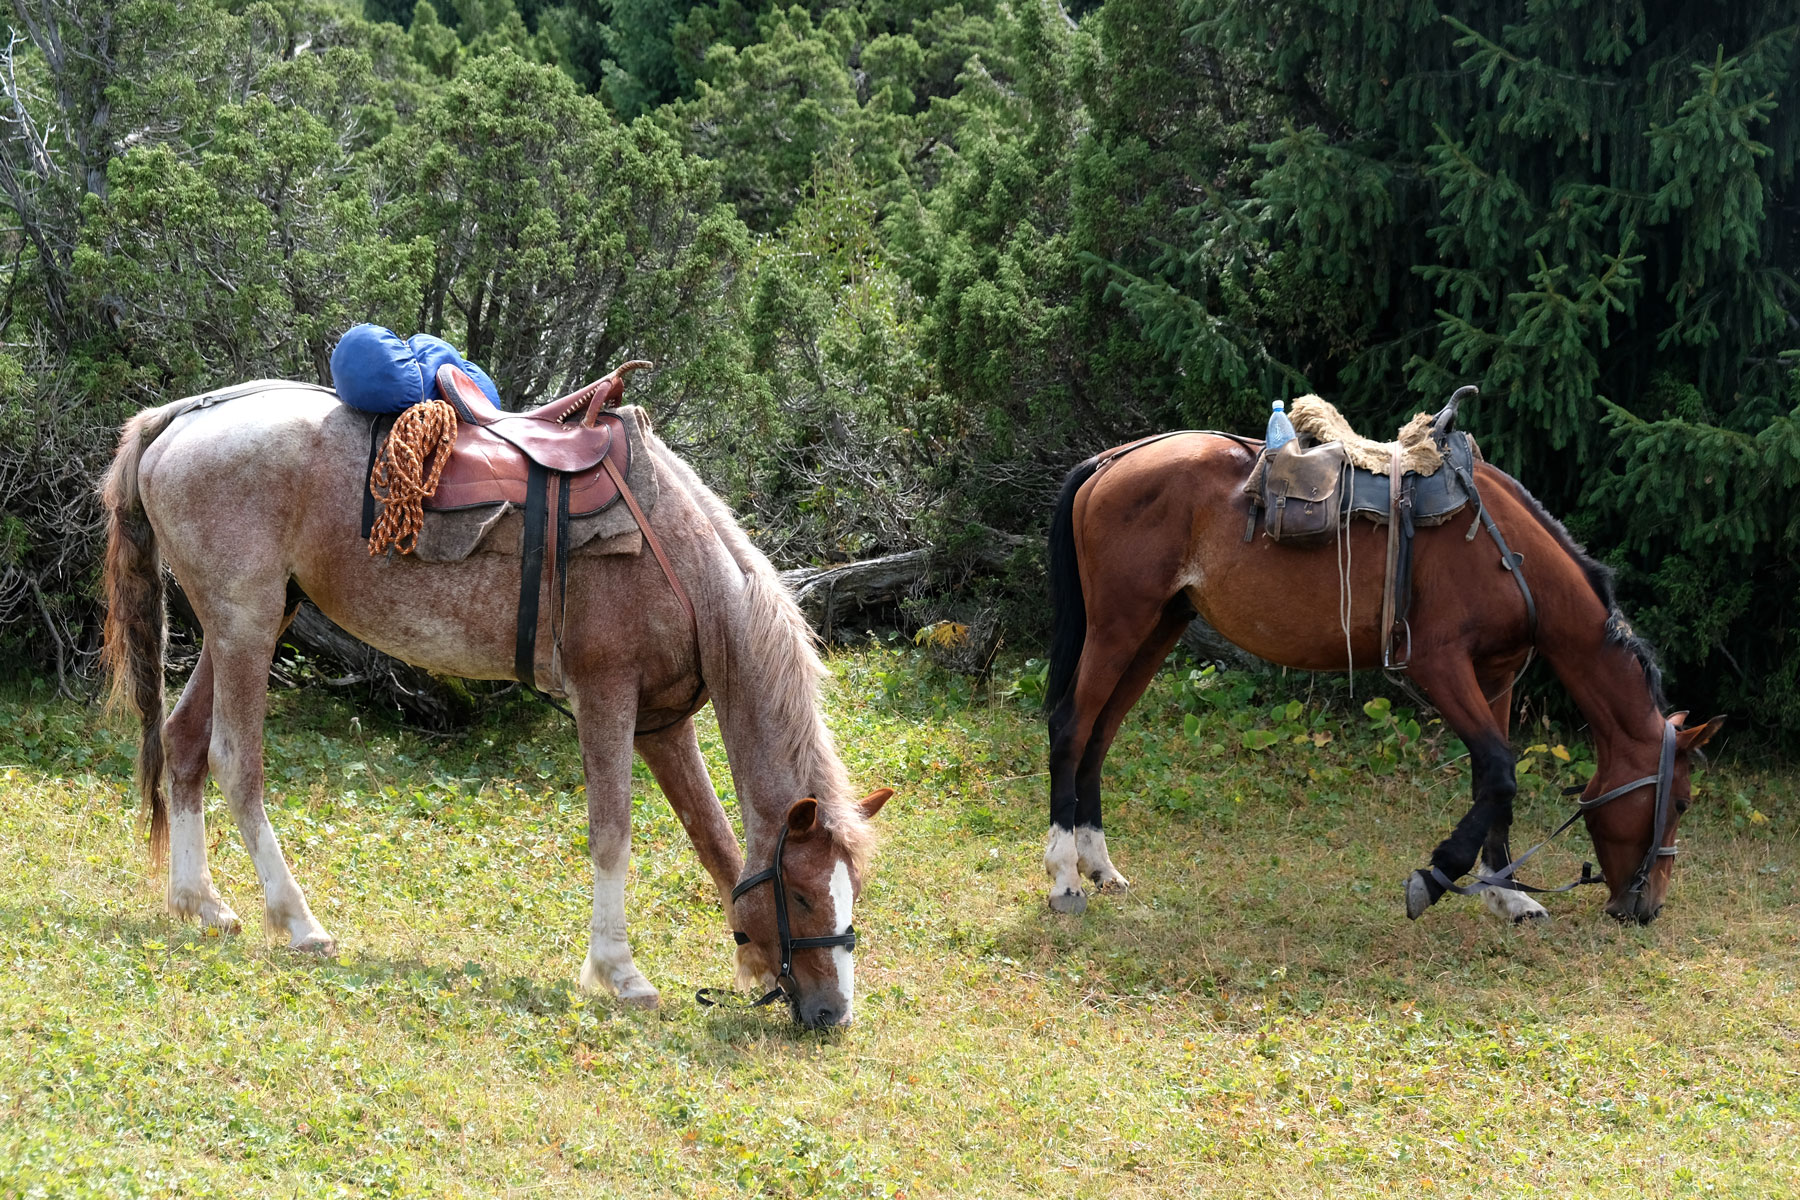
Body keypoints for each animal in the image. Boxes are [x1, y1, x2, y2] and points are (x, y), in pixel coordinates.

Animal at [102, 390, 889, 1029]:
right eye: (806, 897)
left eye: (852, 893)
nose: (833, 1014)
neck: (681, 562)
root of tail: (181, 416)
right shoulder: (606, 697)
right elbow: (613, 834)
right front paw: (619, 973)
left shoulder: (664, 725)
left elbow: (713, 837)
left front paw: (744, 959)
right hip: (248, 625)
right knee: (238, 763)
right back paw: (298, 922)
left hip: (243, 624)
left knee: (183, 743)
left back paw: (200, 902)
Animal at [1051, 426, 1720, 928]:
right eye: (1680, 802)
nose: (1647, 908)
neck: (1507, 554)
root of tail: (1113, 461)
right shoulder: (1438, 665)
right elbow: (1500, 772)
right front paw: (1438, 875)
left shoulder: (1497, 675)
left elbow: (1494, 780)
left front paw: (1508, 893)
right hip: (1119, 625)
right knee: (1071, 730)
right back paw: (1063, 880)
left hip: (1157, 627)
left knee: (1100, 737)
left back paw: (1099, 867)